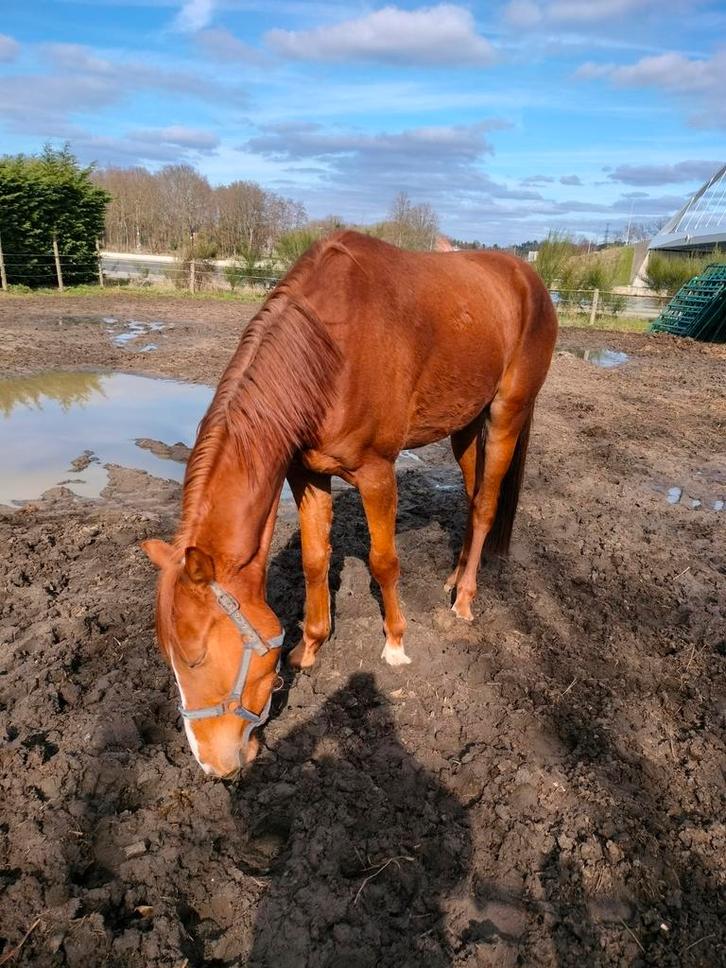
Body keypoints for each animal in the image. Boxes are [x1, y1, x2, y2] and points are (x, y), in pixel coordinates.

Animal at [143, 230, 558, 777]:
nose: (212, 765)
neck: (330, 350)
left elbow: (384, 562)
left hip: (507, 412)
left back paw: (464, 599)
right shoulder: (307, 473)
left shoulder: (377, 472)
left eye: (196, 658)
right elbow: (315, 560)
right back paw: (452, 578)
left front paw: (396, 643)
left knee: (486, 504)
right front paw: (310, 646)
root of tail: (529, 279)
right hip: (465, 423)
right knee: (471, 502)